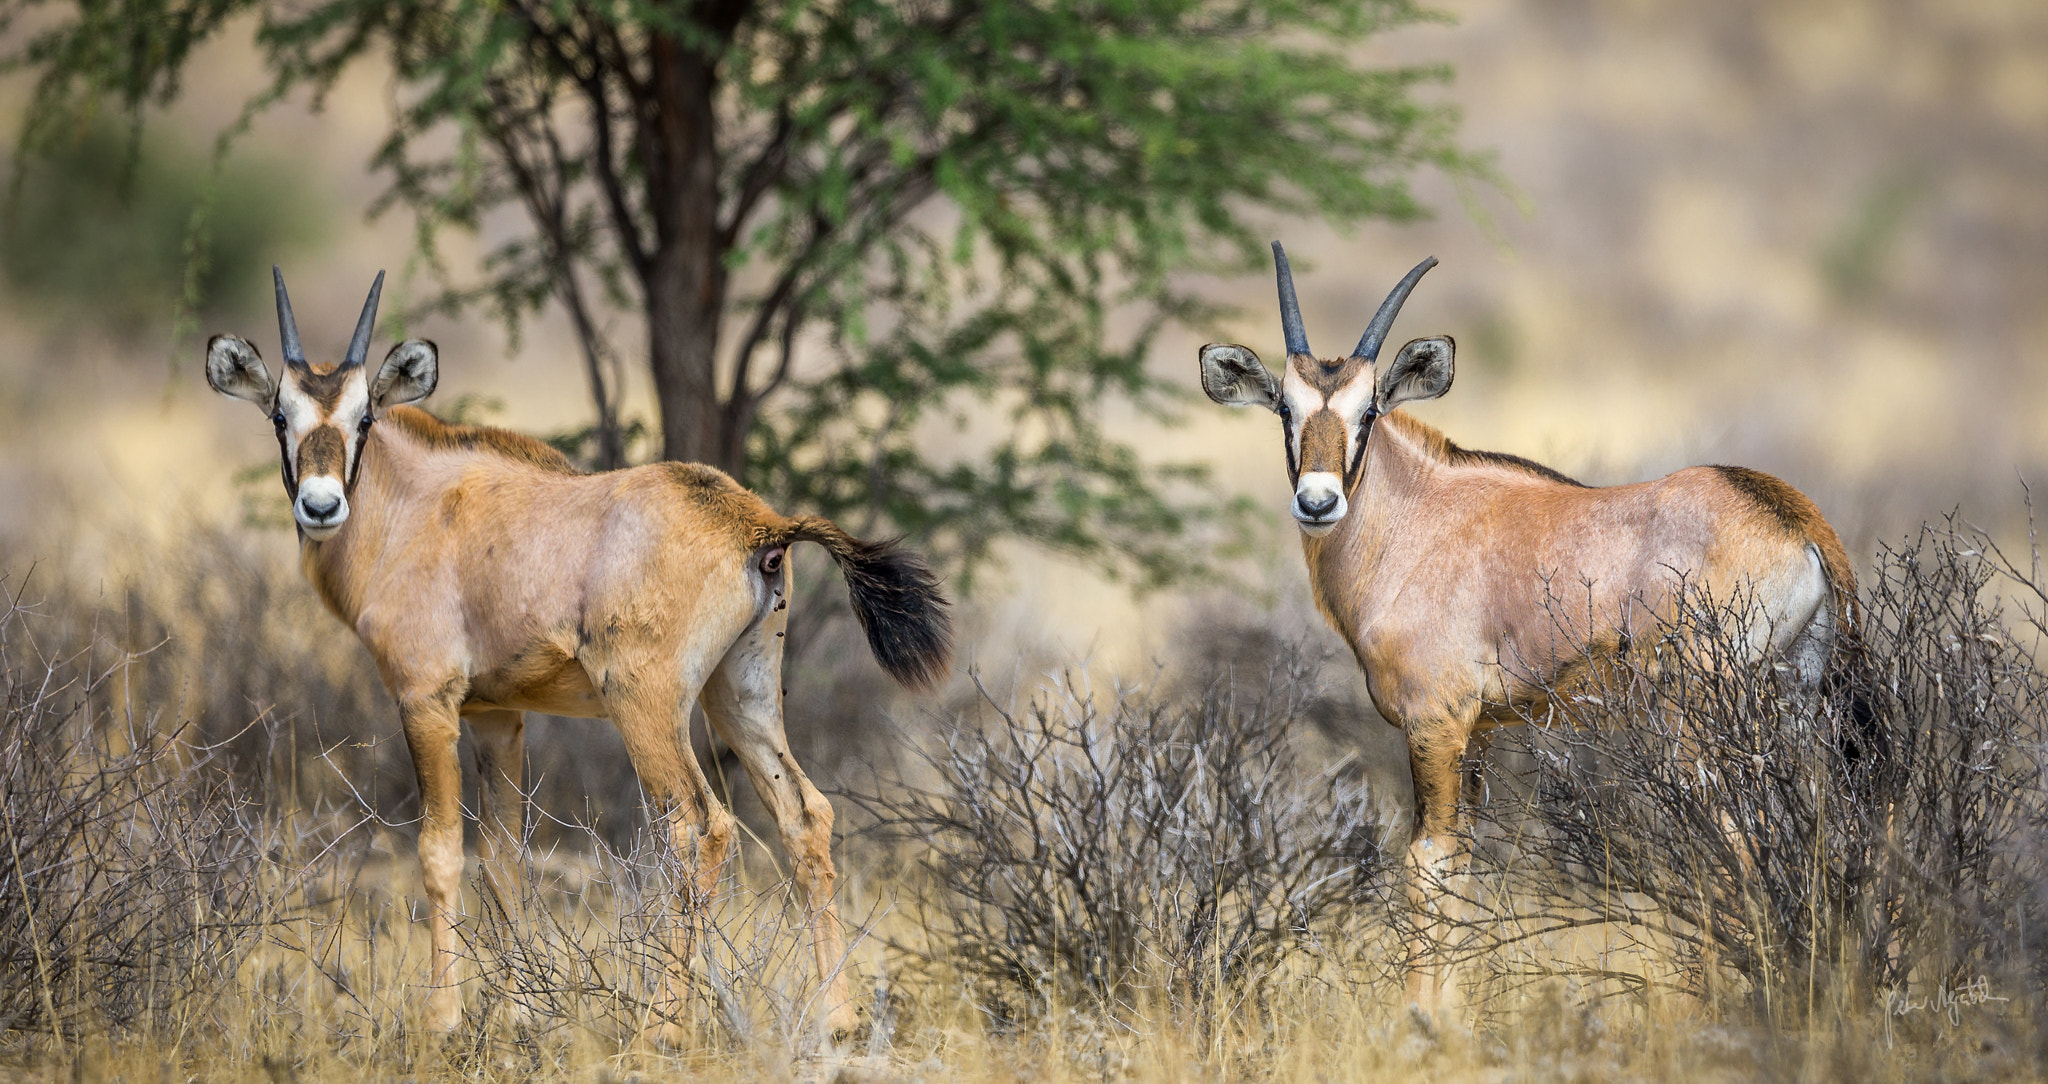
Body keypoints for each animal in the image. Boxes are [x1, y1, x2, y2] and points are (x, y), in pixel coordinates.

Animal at [203, 268, 946, 1032]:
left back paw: (663, 1021)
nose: (321, 506)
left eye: (365, 418)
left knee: (698, 826)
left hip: (645, 705)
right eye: (280, 416)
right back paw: (837, 1017)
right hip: (741, 695)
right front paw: (514, 1014)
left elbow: (440, 851)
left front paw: (443, 1019)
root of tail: (756, 523)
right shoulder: (497, 717)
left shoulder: (425, 701)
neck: (417, 506)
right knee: (804, 816)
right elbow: (503, 857)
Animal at [1196, 242, 1859, 1004]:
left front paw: (1422, 1012)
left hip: (1699, 716)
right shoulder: (1479, 731)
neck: (1417, 517)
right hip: (1797, 703)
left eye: (1368, 411)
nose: (1318, 501)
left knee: (1739, 843)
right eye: (1285, 407)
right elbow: (1463, 864)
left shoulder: (1435, 723)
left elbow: (1428, 862)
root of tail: (1791, 516)